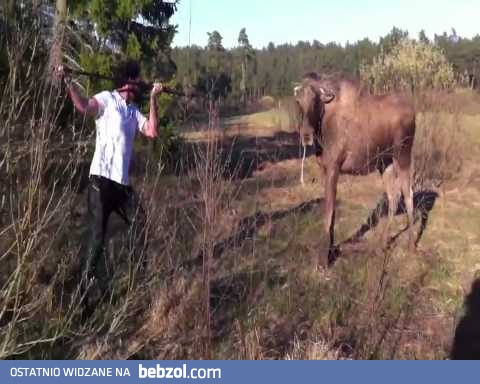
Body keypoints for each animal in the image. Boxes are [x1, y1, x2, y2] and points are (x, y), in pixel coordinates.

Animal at [292, 72, 416, 266]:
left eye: (315, 101)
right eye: (298, 102)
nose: (306, 135)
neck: (322, 132)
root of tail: (414, 111)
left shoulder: (334, 166)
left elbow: (328, 212)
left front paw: (323, 260)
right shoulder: (325, 169)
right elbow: (332, 212)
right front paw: (330, 250)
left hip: (402, 155)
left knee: (408, 194)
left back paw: (411, 245)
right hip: (385, 163)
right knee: (393, 198)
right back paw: (382, 244)